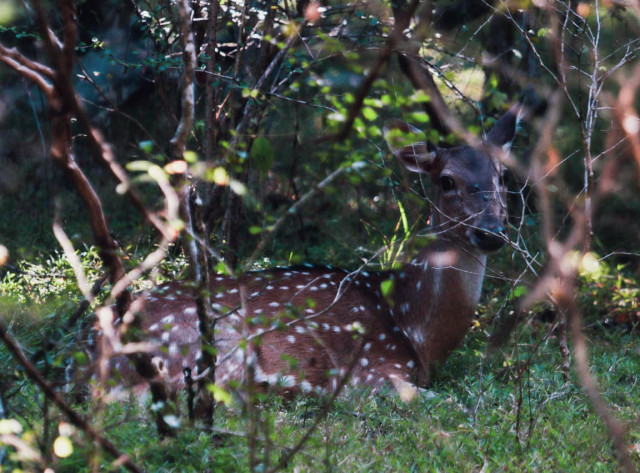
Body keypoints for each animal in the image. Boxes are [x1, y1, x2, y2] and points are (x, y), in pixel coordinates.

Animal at [102, 104, 521, 403]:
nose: (491, 231)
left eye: (503, 176)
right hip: (213, 340)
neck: (416, 331)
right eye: (447, 180)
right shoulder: (374, 369)